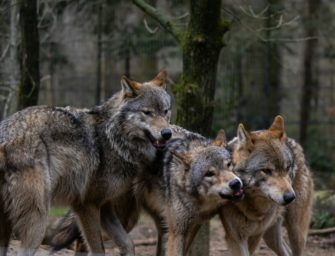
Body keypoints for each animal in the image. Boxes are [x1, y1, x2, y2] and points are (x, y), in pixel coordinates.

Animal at [0, 70, 173, 256]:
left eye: (165, 111)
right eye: (147, 112)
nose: (167, 133)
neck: (115, 139)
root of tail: (4, 138)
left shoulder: (105, 206)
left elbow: (128, 243)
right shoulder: (86, 205)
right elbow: (98, 249)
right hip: (39, 221)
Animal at [220, 116, 316, 256]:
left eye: (287, 168)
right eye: (266, 170)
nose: (290, 197)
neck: (253, 208)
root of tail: (292, 141)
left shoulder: (256, 235)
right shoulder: (235, 238)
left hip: (296, 233)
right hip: (271, 237)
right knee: (286, 251)